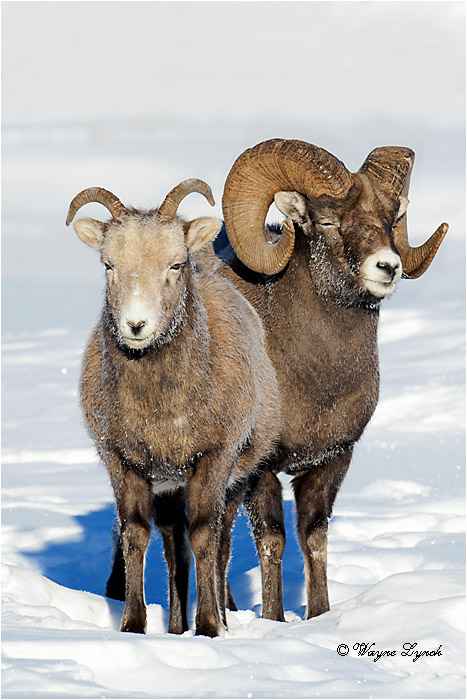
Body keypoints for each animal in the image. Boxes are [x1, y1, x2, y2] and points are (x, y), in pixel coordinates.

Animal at [65, 179, 280, 637]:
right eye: (108, 265)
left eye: (176, 264)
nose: (136, 325)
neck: (161, 412)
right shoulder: (124, 463)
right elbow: (135, 536)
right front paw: (133, 624)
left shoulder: (213, 460)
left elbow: (204, 538)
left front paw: (210, 627)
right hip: (168, 487)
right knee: (172, 547)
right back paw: (177, 625)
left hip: (235, 480)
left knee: (219, 543)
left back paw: (219, 619)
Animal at [208, 138, 447, 621]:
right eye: (328, 221)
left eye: (391, 219)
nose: (388, 267)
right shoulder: (262, 468)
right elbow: (273, 541)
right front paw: (274, 620)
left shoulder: (332, 459)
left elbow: (313, 537)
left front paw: (319, 617)